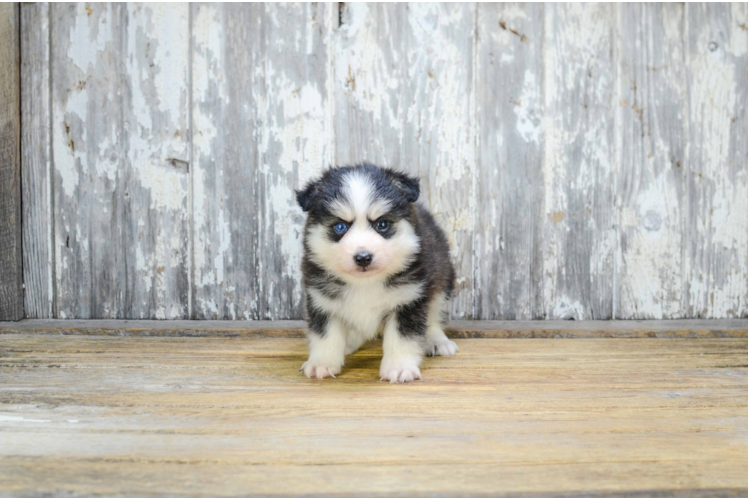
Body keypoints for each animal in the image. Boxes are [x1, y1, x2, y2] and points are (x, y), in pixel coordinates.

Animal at [296, 162, 458, 380]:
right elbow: (326, 334)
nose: (363, 257)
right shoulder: (322, 300)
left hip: (442, 278)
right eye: (340, 227)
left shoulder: (408, 299)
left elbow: (402, 337)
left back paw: (437, 340)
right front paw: (321, 362)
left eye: (381, 224)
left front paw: (399, 367)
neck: (365, 283)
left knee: (433, 316)